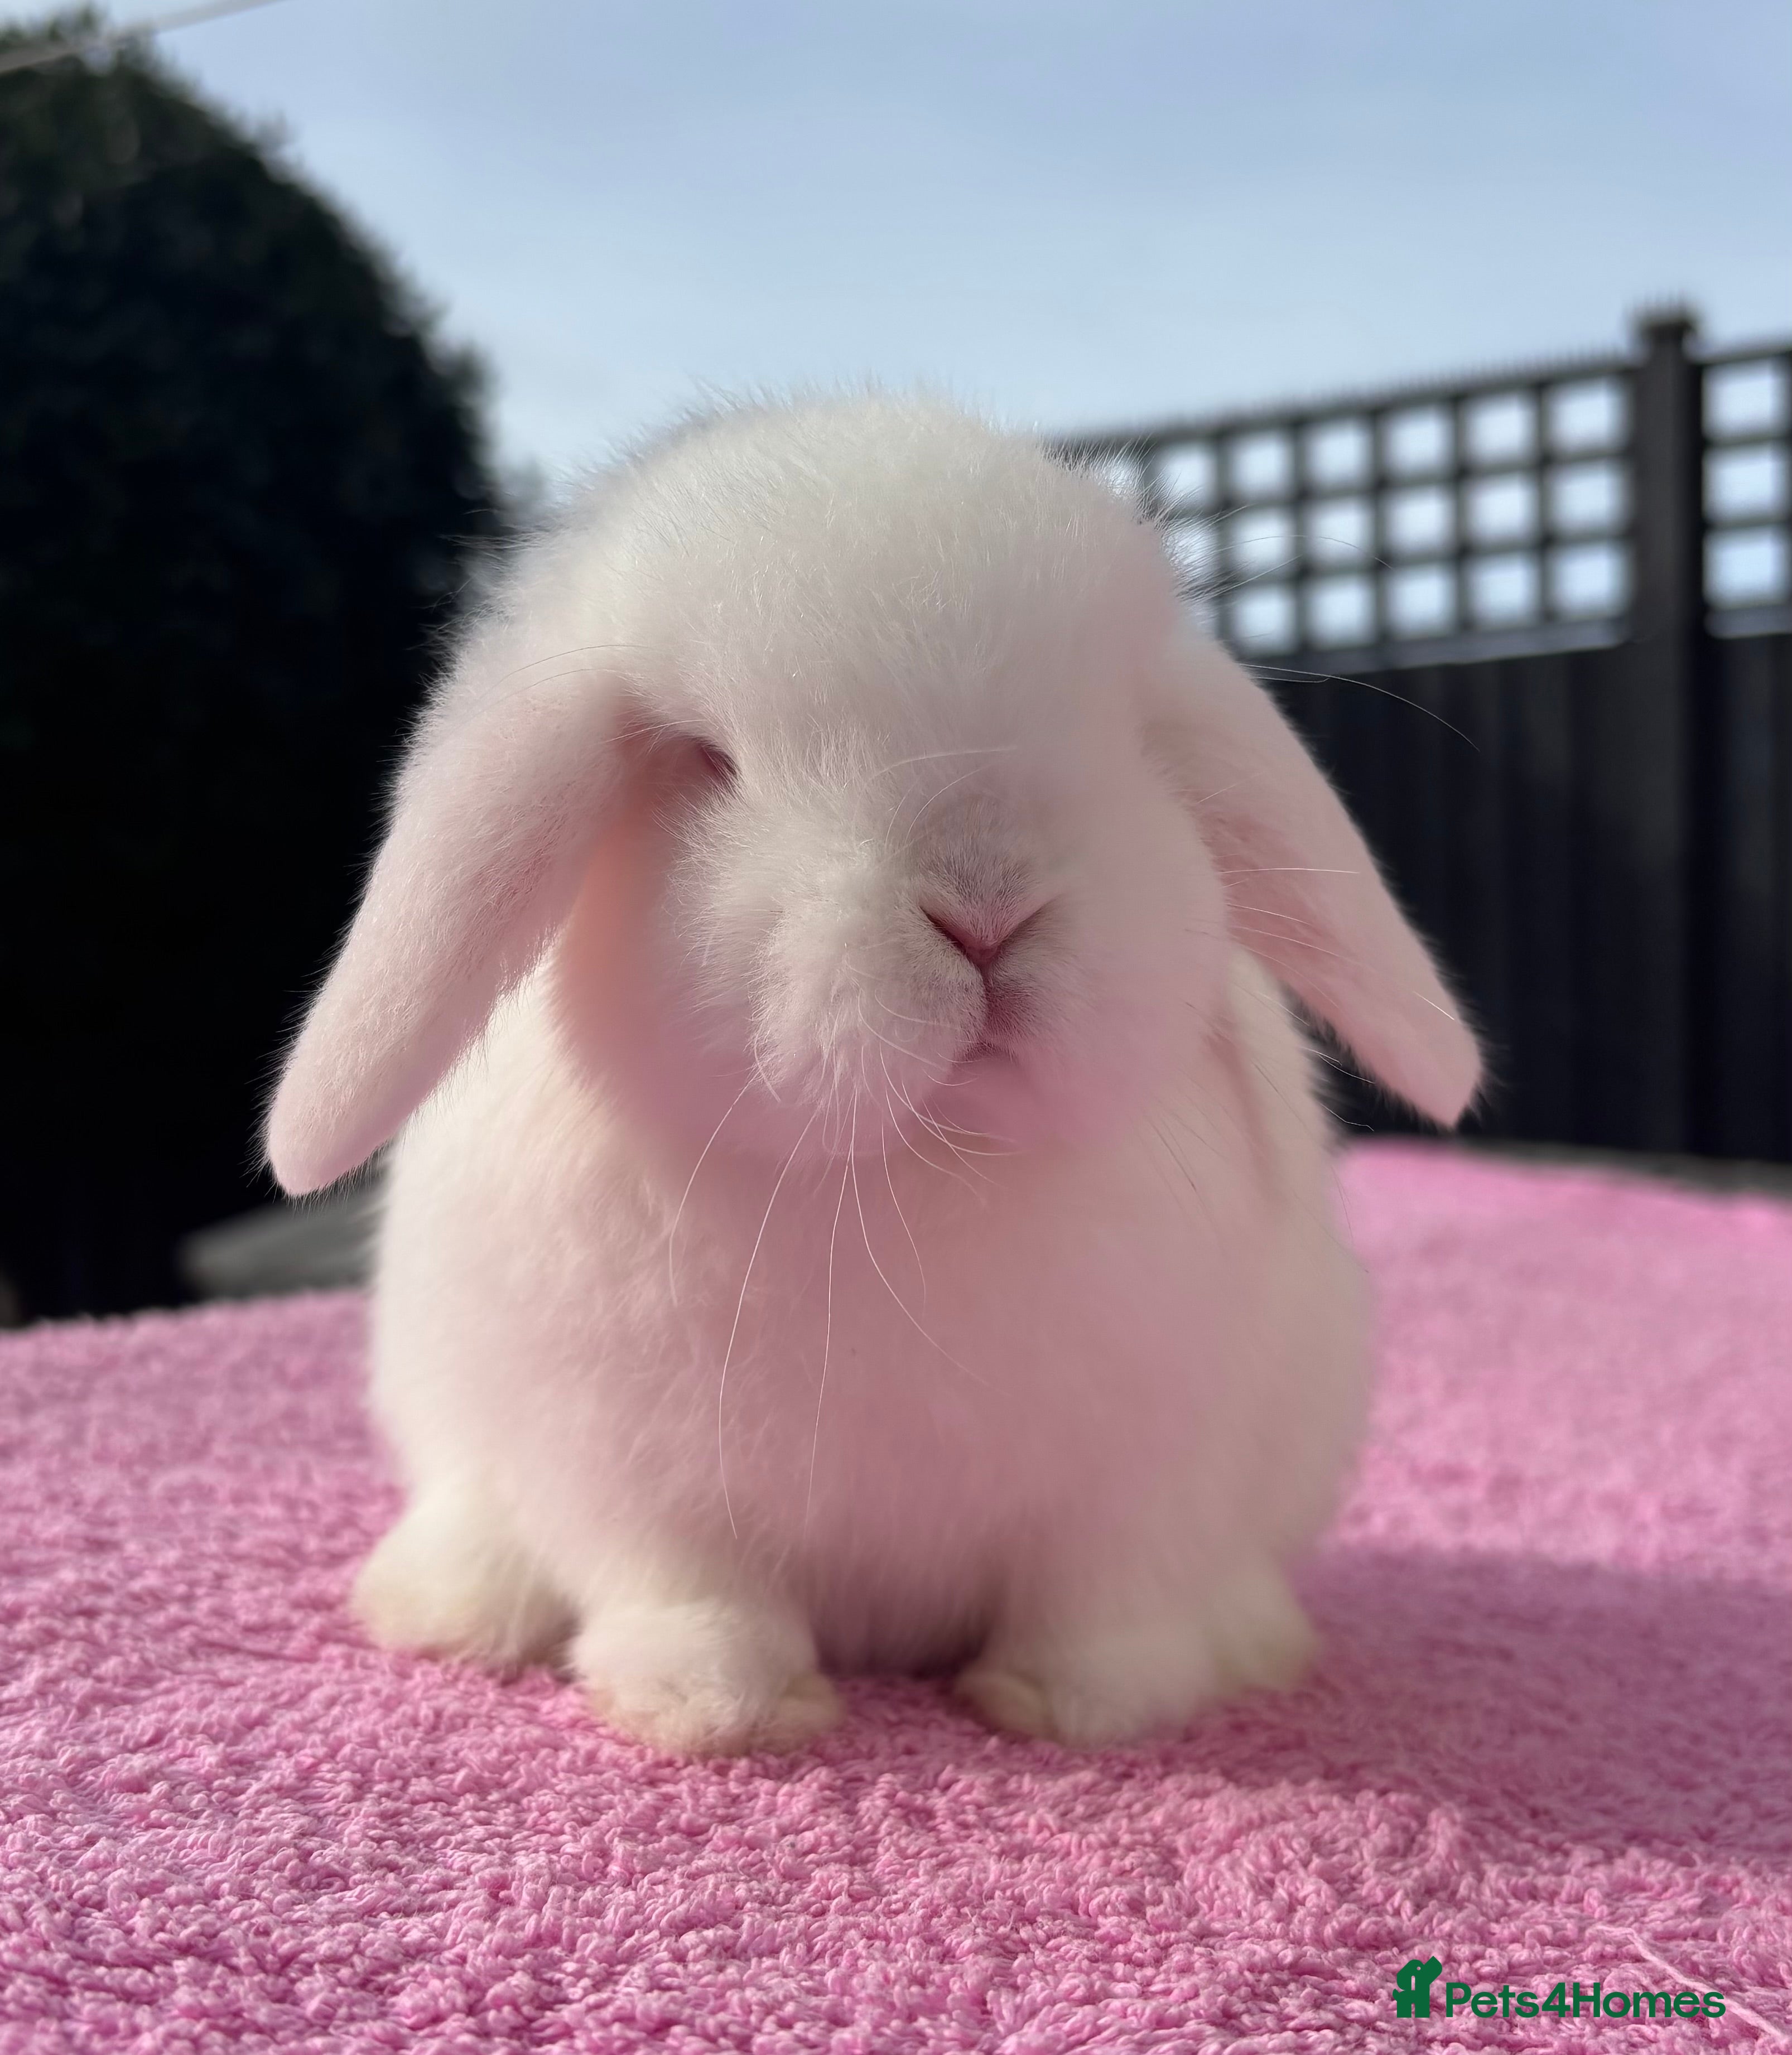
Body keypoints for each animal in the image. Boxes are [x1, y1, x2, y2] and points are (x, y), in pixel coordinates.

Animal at [265, 392, 1480, 1756]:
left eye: (1129, 740)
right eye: (704, 760)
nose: (988, 908)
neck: (915, 1170)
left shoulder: (1146, 1477)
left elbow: (1105, 1600)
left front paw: (1074, 1705)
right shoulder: (628, 1474)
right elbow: (688, 1588)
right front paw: (721, 1709)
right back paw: (453, 1608)